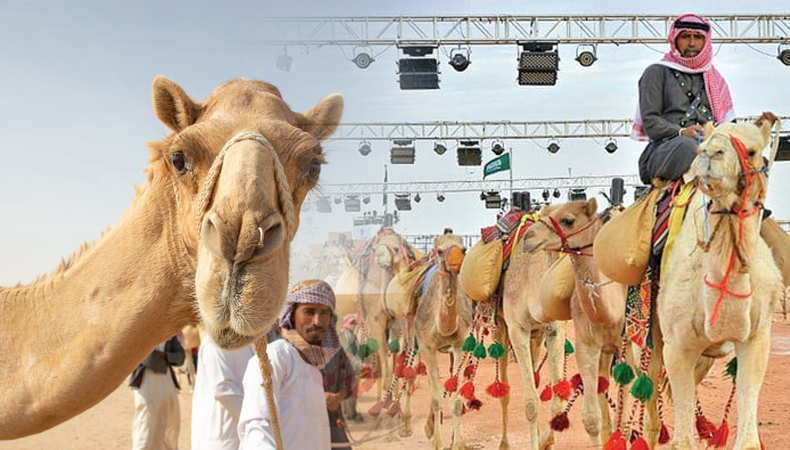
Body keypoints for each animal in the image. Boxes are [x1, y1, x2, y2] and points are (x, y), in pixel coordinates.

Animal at [660, 114, 784, 448]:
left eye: (754, 152)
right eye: (703, 143)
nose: (709, 154)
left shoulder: (757, 339)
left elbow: (749, 438)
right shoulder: (675, 346)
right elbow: (682, 439)